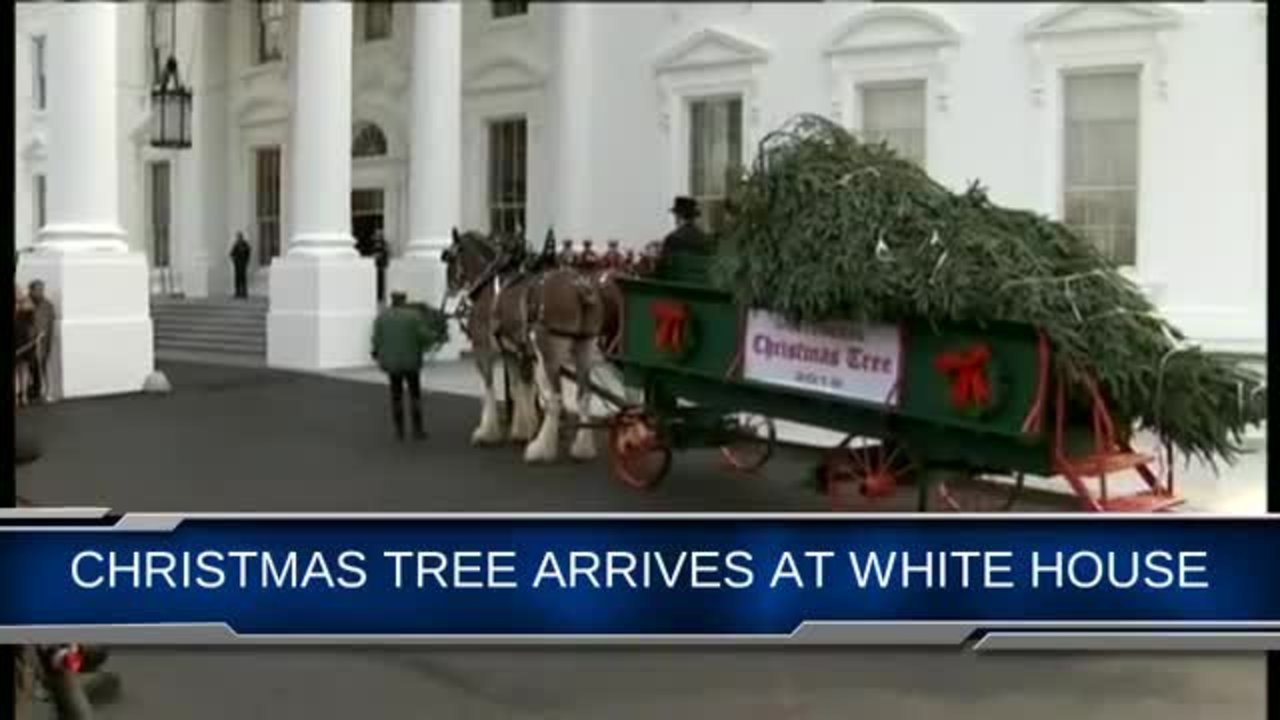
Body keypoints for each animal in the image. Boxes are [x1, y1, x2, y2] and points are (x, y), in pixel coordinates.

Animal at [442, 233, 616, 461]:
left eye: (450, 258)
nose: (449, 288)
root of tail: (580, 287)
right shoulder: (512, 352)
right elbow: (519, 388)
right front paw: (522, 429)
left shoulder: (483, 349)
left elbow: (489, 388)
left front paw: (487, 432)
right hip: (584, 349)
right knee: (583, 395)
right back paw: (582, 448)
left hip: (548, 353)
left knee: (554, 398)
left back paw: (541, 449)